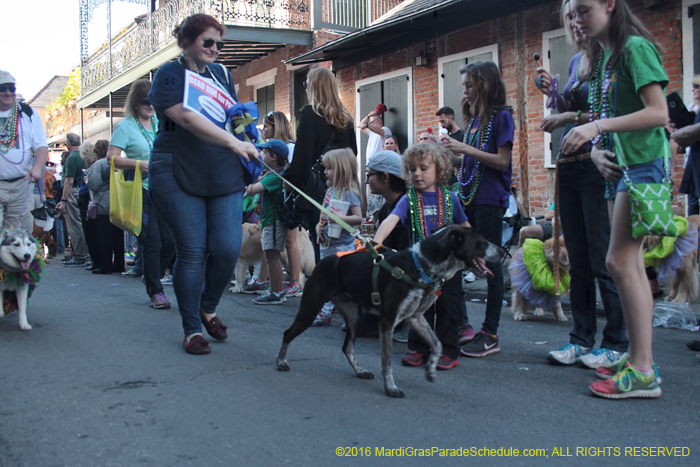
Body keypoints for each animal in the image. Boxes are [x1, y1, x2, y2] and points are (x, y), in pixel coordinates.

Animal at [274, 227, 504, 398]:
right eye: (481, 242)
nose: (503, 252)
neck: (421, 266)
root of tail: (322, 261)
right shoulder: (387, 320)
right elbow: (387, 360)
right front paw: (391, 388)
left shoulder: (415, 317)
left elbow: (437, 344)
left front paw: (430, 369)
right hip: (310, 309)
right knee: (287, 333)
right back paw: (281, 362)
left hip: (354, 317)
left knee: (347, 348)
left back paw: (360, 371)